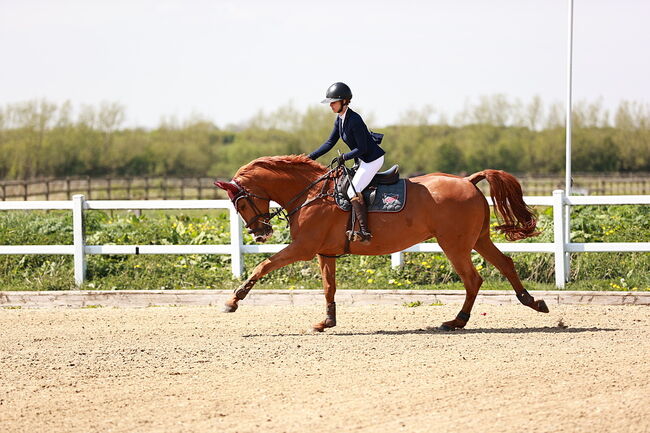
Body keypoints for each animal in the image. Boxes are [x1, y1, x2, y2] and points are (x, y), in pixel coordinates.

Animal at [214, 155, 548, 330]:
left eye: (239, 203)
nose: (260, 234)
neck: (311, 193)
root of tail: (467, 180)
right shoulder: (325, 252)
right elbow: (328, 287)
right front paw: (327, 321)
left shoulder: (304, 248)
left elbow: (263, 265)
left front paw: (233, 301)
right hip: (477, 239)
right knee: (505, 263)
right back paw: (533, 302)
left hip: (454, 244)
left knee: (473, 279)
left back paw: (456, 321)